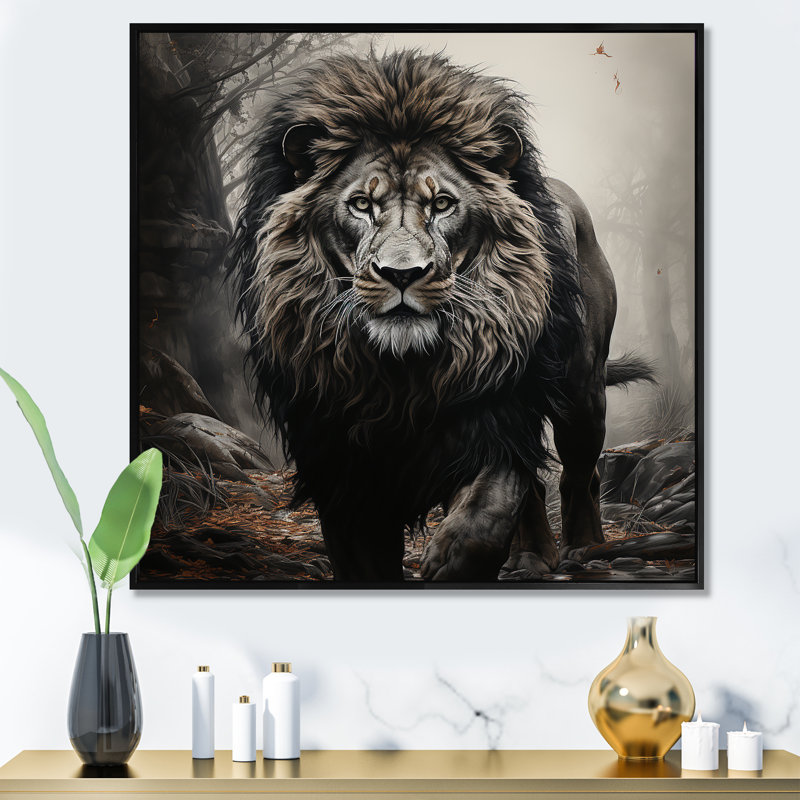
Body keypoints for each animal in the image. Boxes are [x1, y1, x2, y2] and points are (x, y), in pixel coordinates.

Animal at [229, 50, 652, 583]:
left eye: (443, 204)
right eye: (362, 204)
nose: (401, 274)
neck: (400, 375)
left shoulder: (497, 412)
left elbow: (486, 516)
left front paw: (448, 563)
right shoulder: (338, 463)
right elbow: (363, 562)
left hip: (582, 388)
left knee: (581, 471)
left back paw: (584, 550)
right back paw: (532, 559)